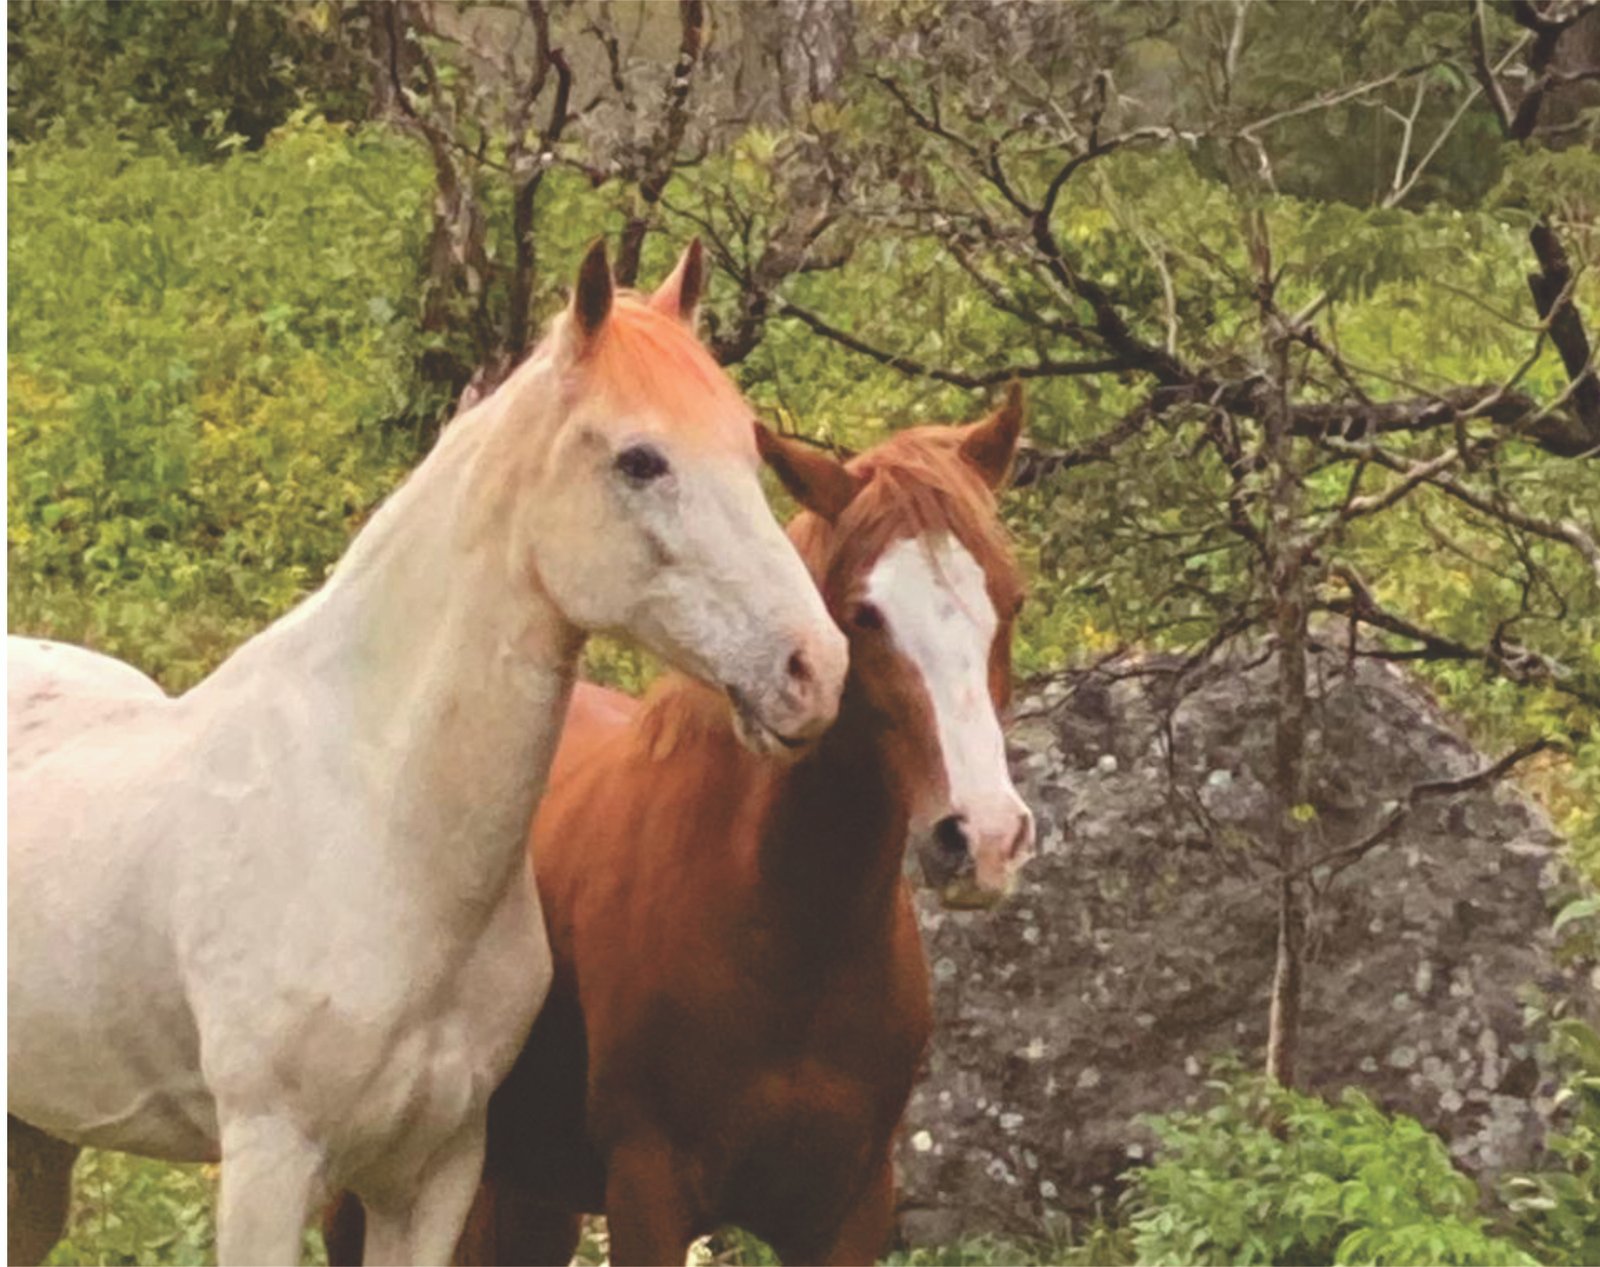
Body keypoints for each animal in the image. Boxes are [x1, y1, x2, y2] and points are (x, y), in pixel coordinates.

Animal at [7, 239, 848, 1267]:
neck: (378, 827)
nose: (814, 669)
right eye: (641, 459)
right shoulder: (269, 1161)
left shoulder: (434, 1170)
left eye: (747, 442)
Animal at [324, 383, 1036, 1266]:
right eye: (864, 615)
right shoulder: (649, 1193)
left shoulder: (849, 1207)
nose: (983, 837)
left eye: (1011, 598)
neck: (787, 937)